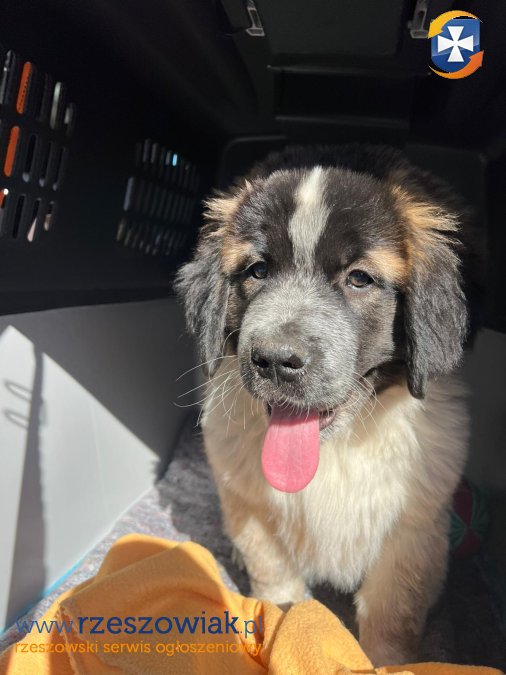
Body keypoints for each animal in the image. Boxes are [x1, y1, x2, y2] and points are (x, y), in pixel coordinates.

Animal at [175, 144, 479, 665]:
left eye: (359, 279)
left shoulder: (411, 533)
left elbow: (392, 611)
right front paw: (283, 630)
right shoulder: (252, 508)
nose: (275, 361)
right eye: (258, 271)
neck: (334, 448)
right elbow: (275, 577)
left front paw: (389, 664)